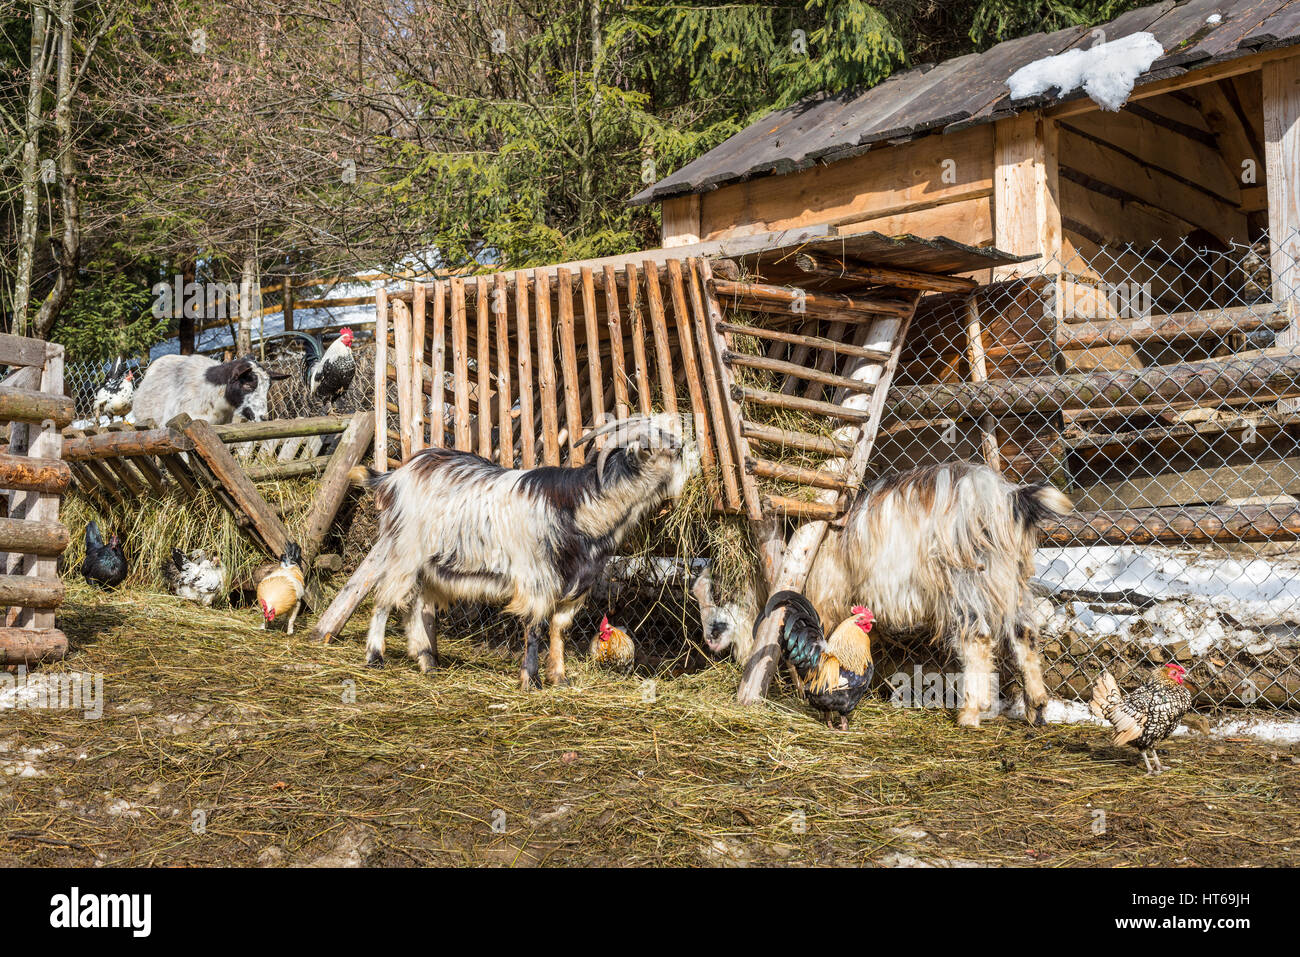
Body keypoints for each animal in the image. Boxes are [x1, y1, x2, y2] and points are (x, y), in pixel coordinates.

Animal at [363, 413, 697, 689]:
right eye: (663, 446)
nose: (685, 447)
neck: (580, 510)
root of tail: (395, 476)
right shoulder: (536, 580)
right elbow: (535, 628)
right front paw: (531, 680)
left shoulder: (575, 586)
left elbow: (559, 631)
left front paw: (559, 677)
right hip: (403, 549)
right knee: (383, 598)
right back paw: (375, 657)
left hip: (426, 564)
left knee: (413, 603)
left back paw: (427, 661)